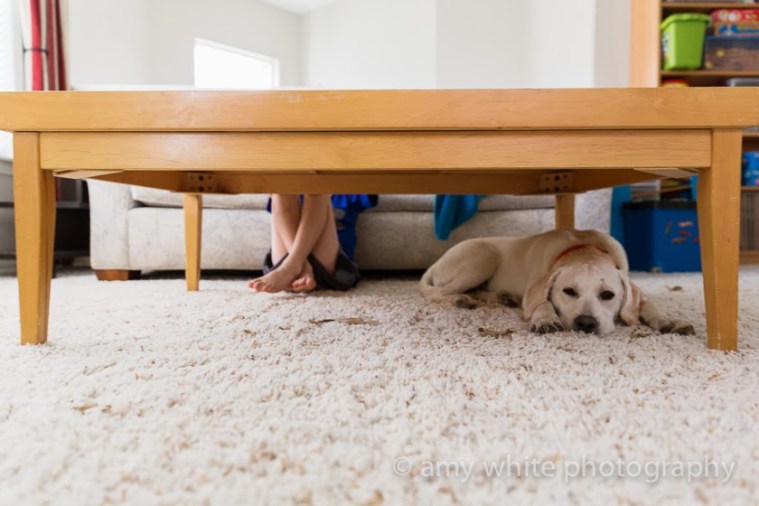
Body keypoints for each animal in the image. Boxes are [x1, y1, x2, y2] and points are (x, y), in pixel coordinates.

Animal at [420, 229, 695, 336]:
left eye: (608, 295)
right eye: (568, 291)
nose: (586, 324)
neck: (583, 249)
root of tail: (437, 261)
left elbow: (649, 305)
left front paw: (669, 320)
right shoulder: (537, 287)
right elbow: (542, 302)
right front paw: (546, 319)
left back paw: (503, 297)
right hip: (483, 255)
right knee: (438, 292)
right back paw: (460, 299)